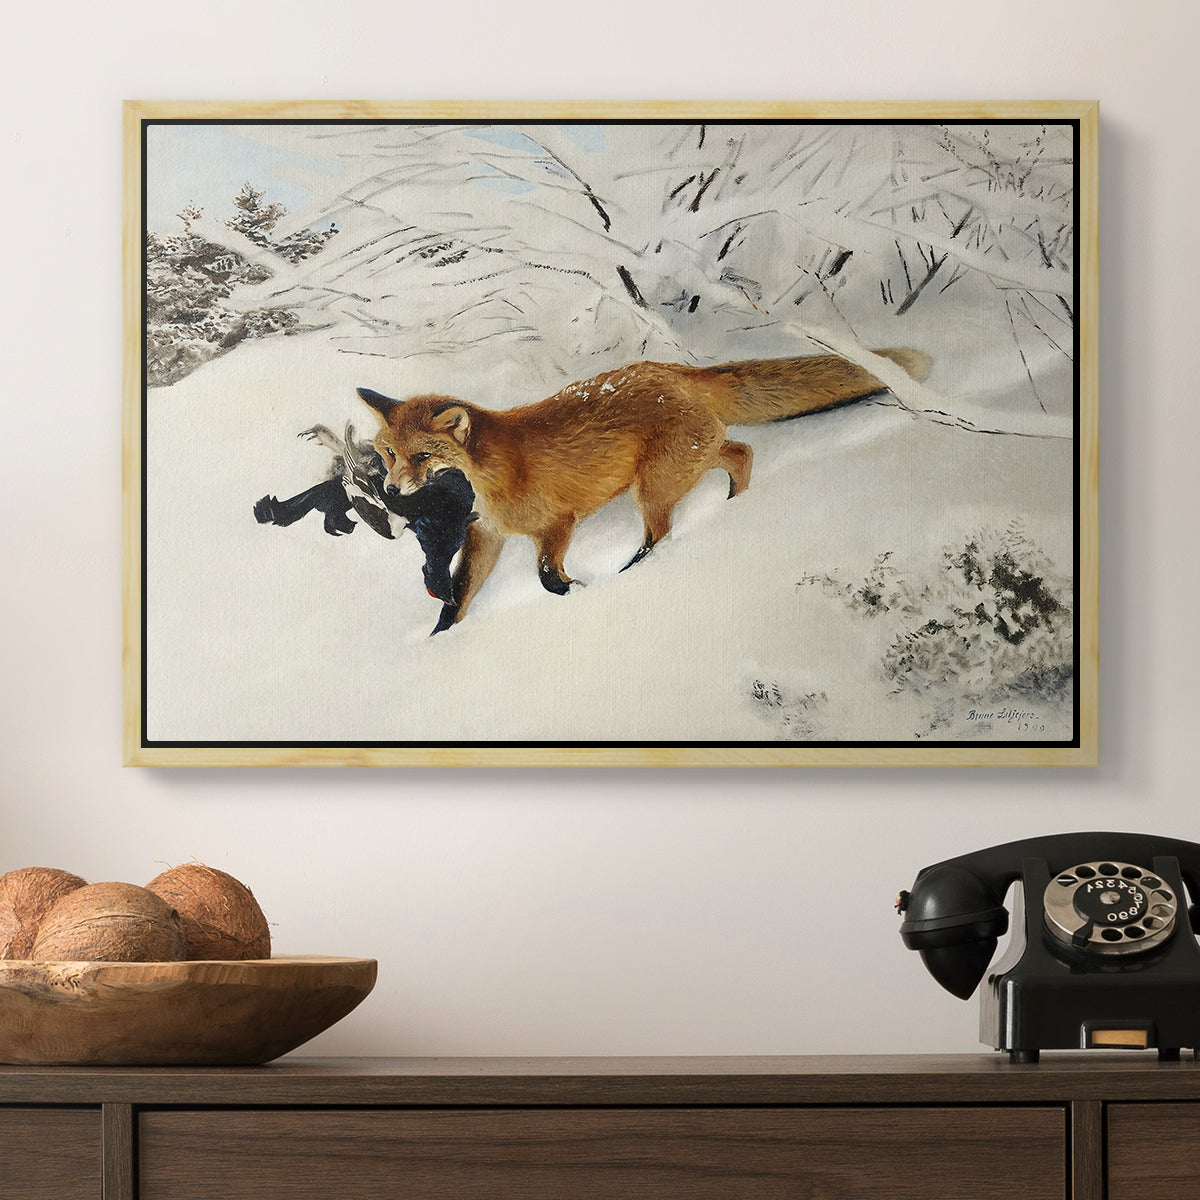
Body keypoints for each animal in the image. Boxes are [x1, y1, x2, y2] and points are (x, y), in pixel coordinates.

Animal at [358, 348, 932, 633]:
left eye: (422, 457)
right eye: (388, 453)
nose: (391, 488)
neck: (491, 476)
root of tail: (670, 369)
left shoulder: (557, 524)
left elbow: (546, 577)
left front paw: (578, 592)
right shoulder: (487, 537)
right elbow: (458, 598)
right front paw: (440, 641)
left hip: (653, 487)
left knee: (663, 533)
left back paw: (637, 569)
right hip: (686, 463)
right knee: (741, 452)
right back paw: (735, 505)